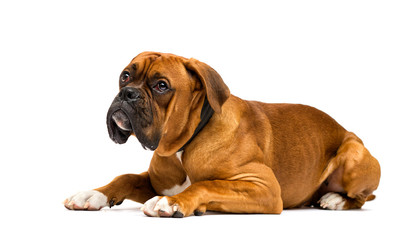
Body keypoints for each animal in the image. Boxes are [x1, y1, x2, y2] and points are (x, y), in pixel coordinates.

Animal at [65, 51, 380, 217]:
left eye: (161, 86)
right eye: (125, 76)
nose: (127, 93)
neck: (182, 146)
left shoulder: (264, 188)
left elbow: (207, 185)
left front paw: (175, 203)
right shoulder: (155, 182)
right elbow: (126, 177)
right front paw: (94, 194)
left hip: (353, 155)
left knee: (361, 198)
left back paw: (334, 199)